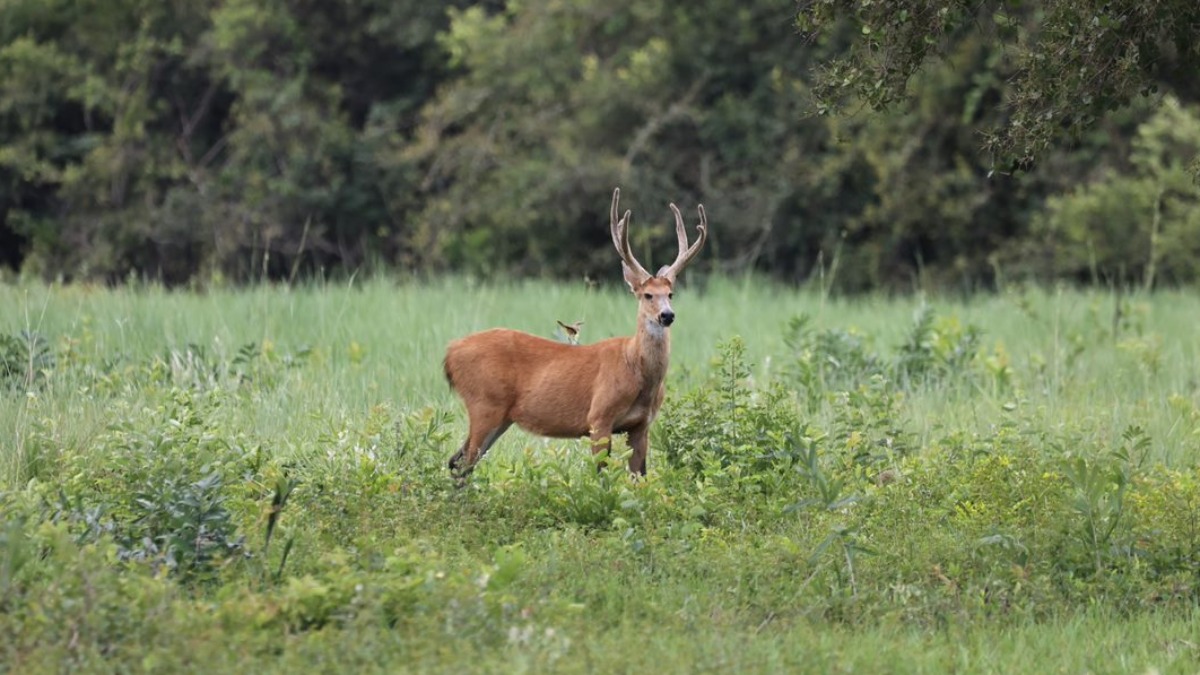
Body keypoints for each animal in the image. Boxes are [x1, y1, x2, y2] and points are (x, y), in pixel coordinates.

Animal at [444, 188, 708, 480]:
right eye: (648, 295)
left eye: (671, 294)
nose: (667, 315)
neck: (636, 368)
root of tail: (450, 353)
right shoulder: (599, 416)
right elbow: (602, 475)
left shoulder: (641, 424)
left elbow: (640, 478)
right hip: (484, 403)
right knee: (462, 465)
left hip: (500, 416)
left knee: (457, 462)